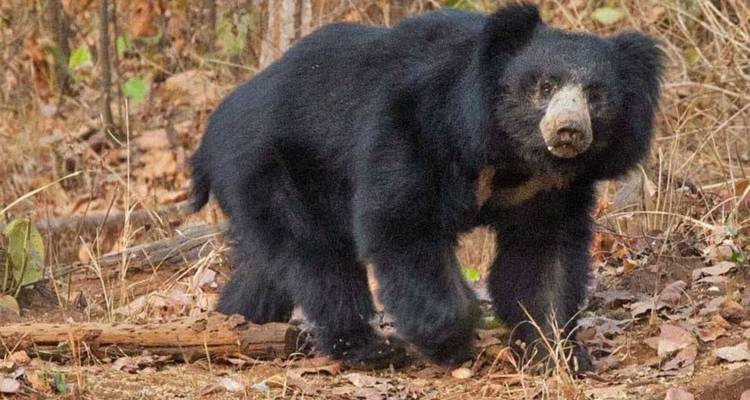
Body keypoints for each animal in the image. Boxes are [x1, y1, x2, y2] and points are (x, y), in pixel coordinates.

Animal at [189, 3, 663, 372]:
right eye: (544, 87)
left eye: (595, 95)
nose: (568, 131)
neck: (510, 151)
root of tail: (210, 138)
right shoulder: (415, 129)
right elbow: (403, 226)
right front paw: (453, 339)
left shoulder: (548, 187)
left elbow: (542, 256)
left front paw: (558, 352)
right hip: (276, 168)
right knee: (317, 257)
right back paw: (367, 348)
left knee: (269, 265)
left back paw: (237, 321)